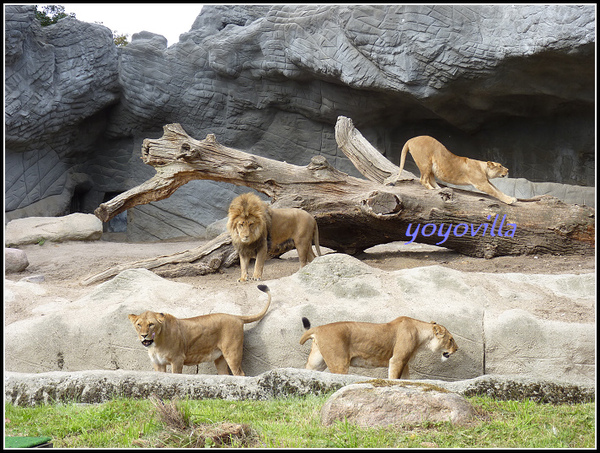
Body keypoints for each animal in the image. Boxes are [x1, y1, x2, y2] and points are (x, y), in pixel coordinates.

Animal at [131, 282, 272, 374]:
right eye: (139, 325)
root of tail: (236, 316)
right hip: (220, 358)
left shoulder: (177, 360)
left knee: (240, 374)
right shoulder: (158, 364)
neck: (156, 345)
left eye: (151, 324)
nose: (144, 335)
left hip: (232, 352)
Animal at [300, 314, 460, 378]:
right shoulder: (397, 360)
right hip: (339, 362)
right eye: (451, 340)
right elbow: (394, 378)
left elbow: (406, 379)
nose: (457, 349)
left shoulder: (405, 364)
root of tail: (318, 328)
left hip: (316, 362)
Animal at [386, 135, 516, 204]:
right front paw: (509, 201)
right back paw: (433, 190)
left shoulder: (486, 181)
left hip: (432, 167)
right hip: (425, 163)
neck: (483, 167)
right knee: (423, 179)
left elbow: (498, 190)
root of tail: (411, 139)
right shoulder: (481, 183)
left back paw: (439, 189)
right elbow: (495, 192)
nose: (508, 170)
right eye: (500, 166)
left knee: (430, 179)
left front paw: (511, 198)